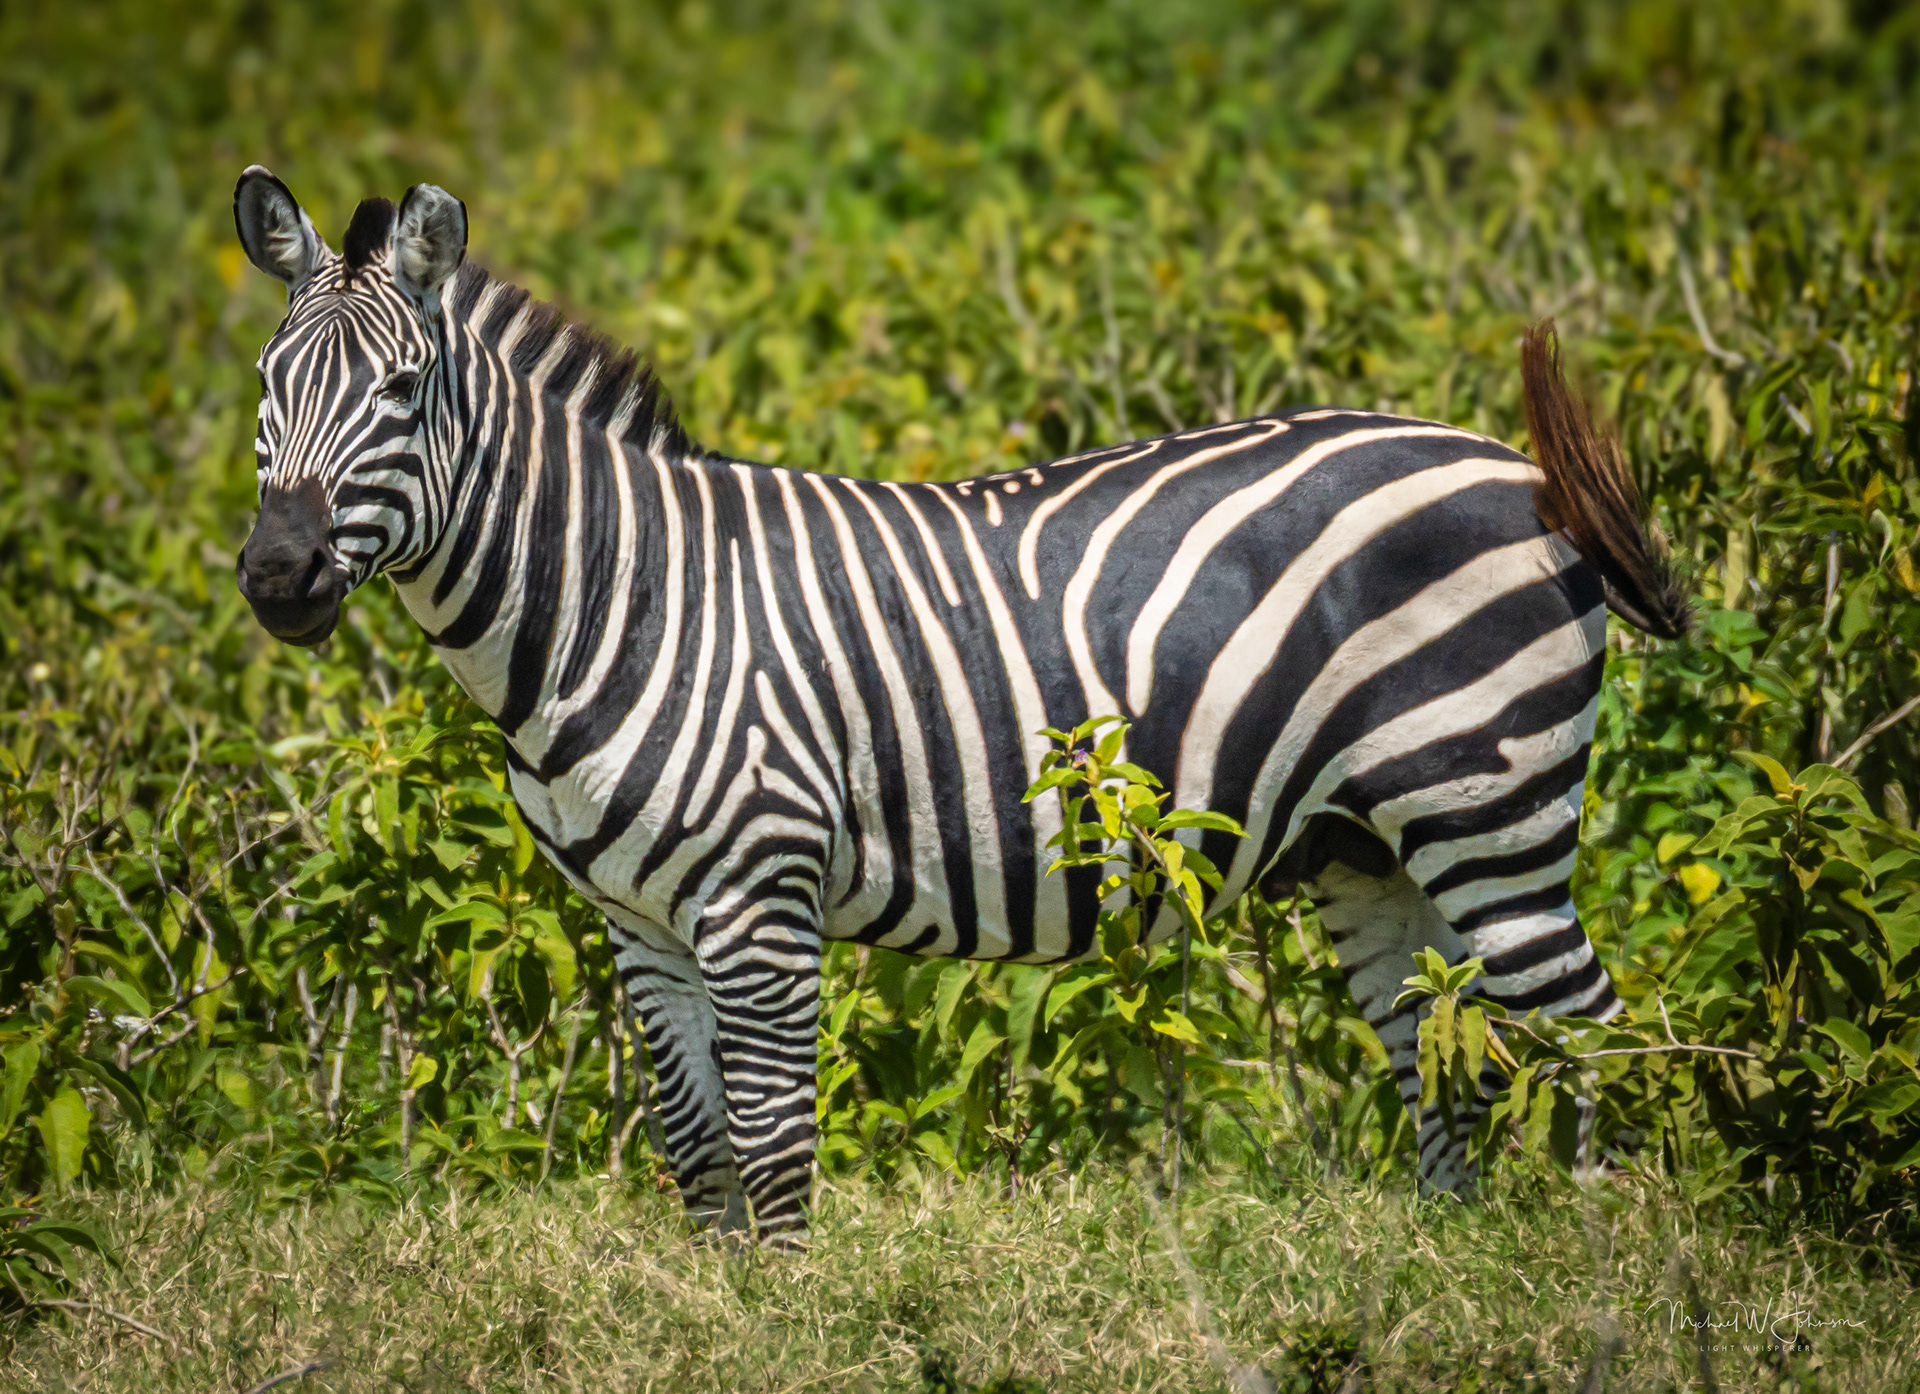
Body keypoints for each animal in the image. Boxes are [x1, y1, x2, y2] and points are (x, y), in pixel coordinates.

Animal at [233, 167, 1687, 1245]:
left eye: (401, 392)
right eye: (262, 393)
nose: (276, 575)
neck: (620, 599)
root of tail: (1513, 469)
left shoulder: (760, 890)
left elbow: (771, 1139)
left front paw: (790, 1320)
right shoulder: (635, 920)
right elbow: (698, 1146)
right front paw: (721, 1306)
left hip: (1486, 805)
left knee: (1599, 1037)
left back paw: (1612, 1269)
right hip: (1367, 846)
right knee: (1448, 1048)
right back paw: (1452, 1255)